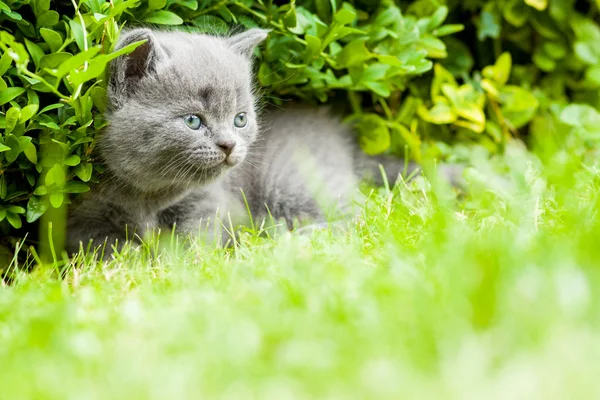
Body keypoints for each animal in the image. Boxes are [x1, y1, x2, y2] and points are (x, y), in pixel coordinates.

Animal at [67, 28, 446, 256]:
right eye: (193, 121)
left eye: (240, 119)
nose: (229, 145)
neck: (147, 196)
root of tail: (343, 136)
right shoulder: (79, 219)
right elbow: (102, 247)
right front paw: (136, 257)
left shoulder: (211, 204)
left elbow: (197, 239)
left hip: (291, 177)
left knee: (358, 217)